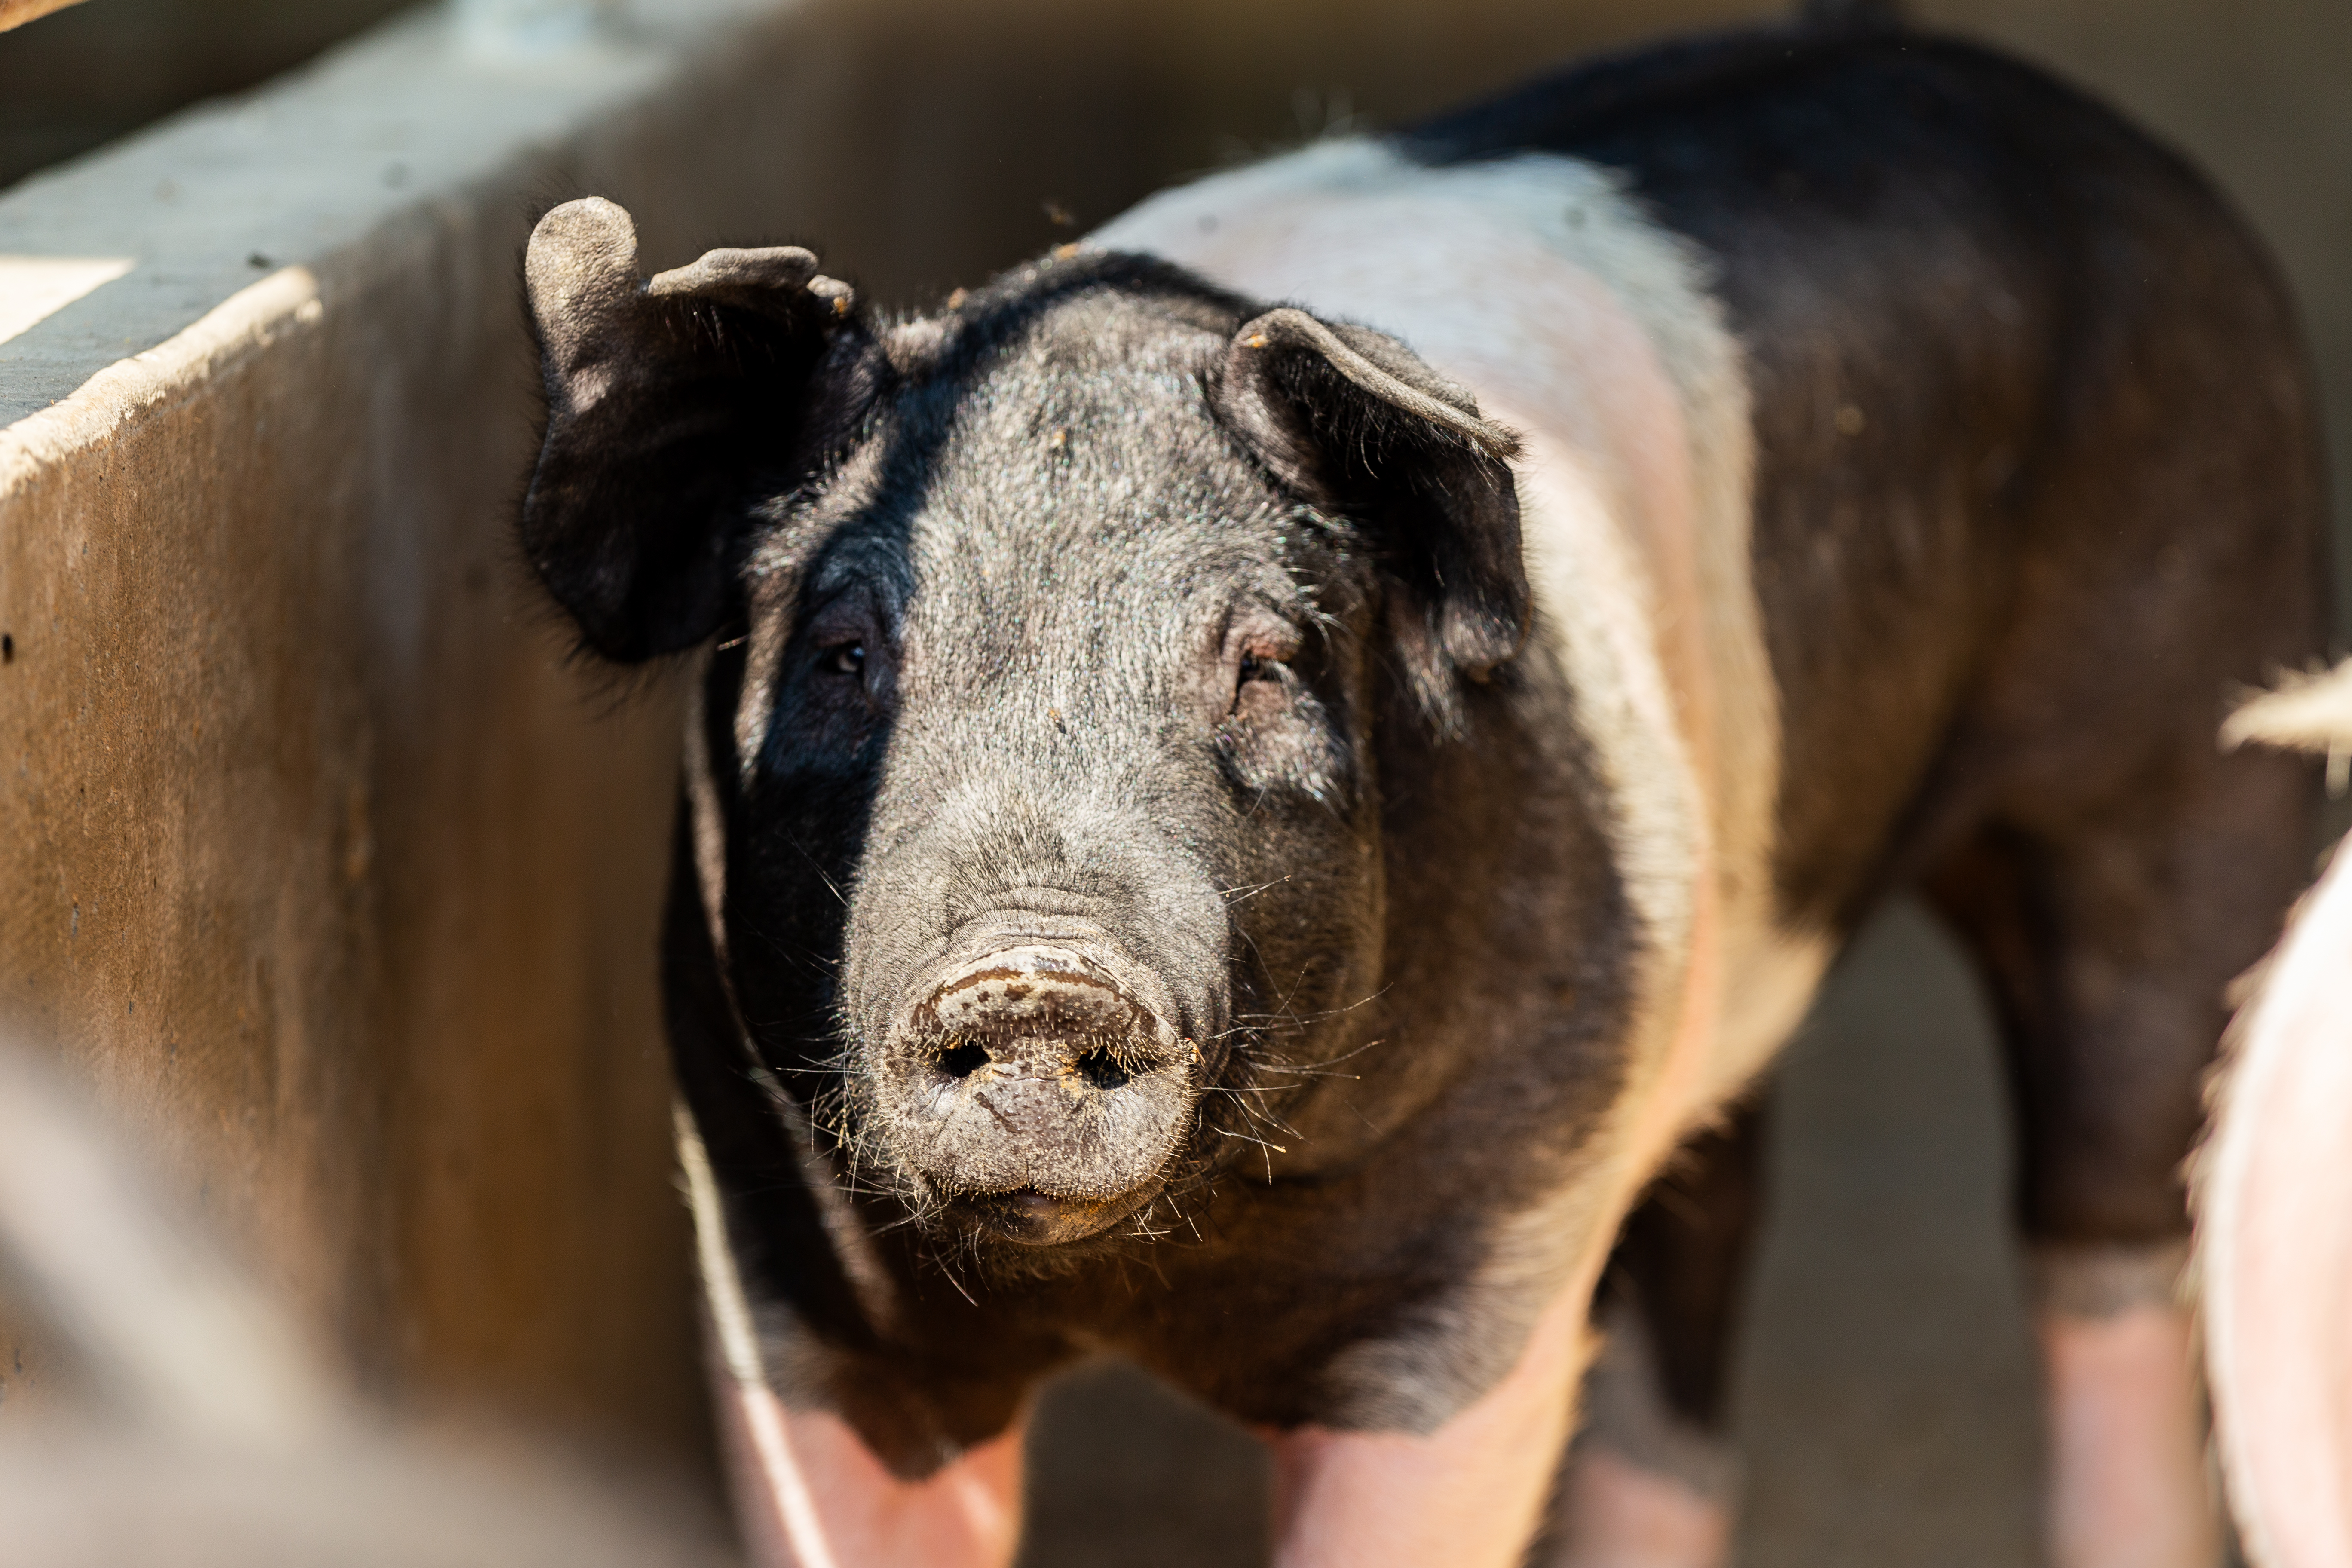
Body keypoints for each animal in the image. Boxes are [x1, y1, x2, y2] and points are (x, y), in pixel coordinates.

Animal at [520, 6, 2333, 1561]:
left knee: (2112, 1221)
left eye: (1263, 663)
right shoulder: (784, 1256)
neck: (1149, 1275)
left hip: (2184, 755)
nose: (1036, 969)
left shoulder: (1479, 1280)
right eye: (843, 650)